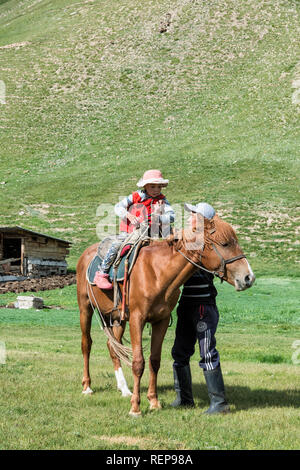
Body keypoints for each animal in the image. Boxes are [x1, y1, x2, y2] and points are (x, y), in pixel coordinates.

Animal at [76, 213, 254, 414]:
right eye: (225, 243)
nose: (248, 277)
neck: (157, 272)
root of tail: (86, 254)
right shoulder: (137, 319)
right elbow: (138, 363)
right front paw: (136, 408)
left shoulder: (161, 321)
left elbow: (154, 360)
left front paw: (153, 402)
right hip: (85, 309)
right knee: (86, 345)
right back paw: (87, 387)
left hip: (117, 318)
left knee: (113, 347)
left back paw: (124, 388)